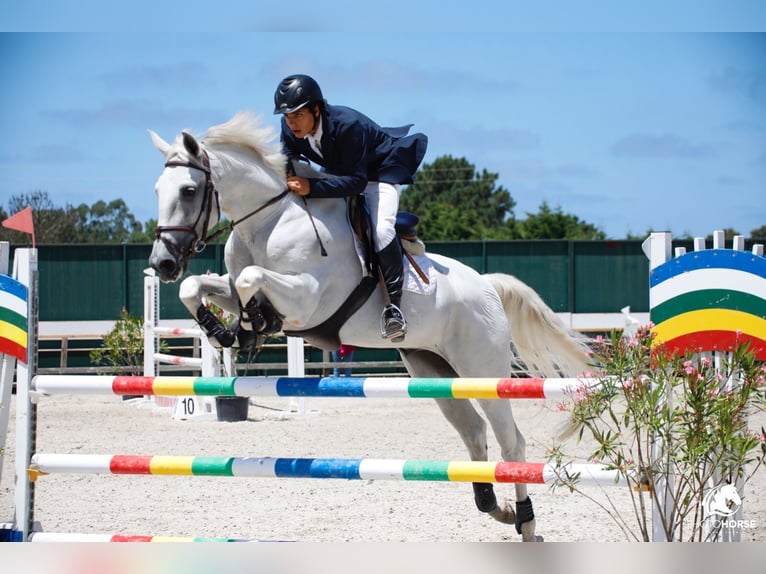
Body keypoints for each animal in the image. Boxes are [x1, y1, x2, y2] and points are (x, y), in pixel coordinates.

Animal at [150, 110, 592, 544]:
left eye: (188, 190)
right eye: (157, 189)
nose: (162, 264)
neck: (270, 221)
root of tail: (487, 285)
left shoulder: (306, 301)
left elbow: (249, 278)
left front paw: (250, 325)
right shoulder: (235, 287)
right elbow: (201, 286)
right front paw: (228, 329)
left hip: (480, 369)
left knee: (510, 440)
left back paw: (526, 521)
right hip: (432, 369)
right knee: (473, 430)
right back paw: (495, 508)